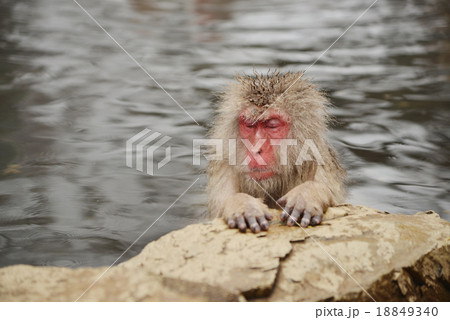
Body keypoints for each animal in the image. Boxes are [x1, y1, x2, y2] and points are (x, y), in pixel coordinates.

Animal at [206, 71, 346, 234]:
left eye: (272, 125)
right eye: (250, 125)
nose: (256, 149)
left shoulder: (320, 165)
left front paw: (307, 194)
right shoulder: (224, 167)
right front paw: (242, 204)